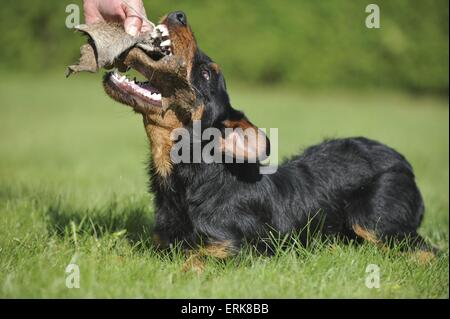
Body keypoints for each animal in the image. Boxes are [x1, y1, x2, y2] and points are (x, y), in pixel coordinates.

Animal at [102, 11, 432, 264]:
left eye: (207, 75)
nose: (178, 15)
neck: (192, 179)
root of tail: (401, 161)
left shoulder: (234, 249)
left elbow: (193, 261)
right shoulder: (160, 245)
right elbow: (124, 257)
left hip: (374, 221)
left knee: (427, 252)